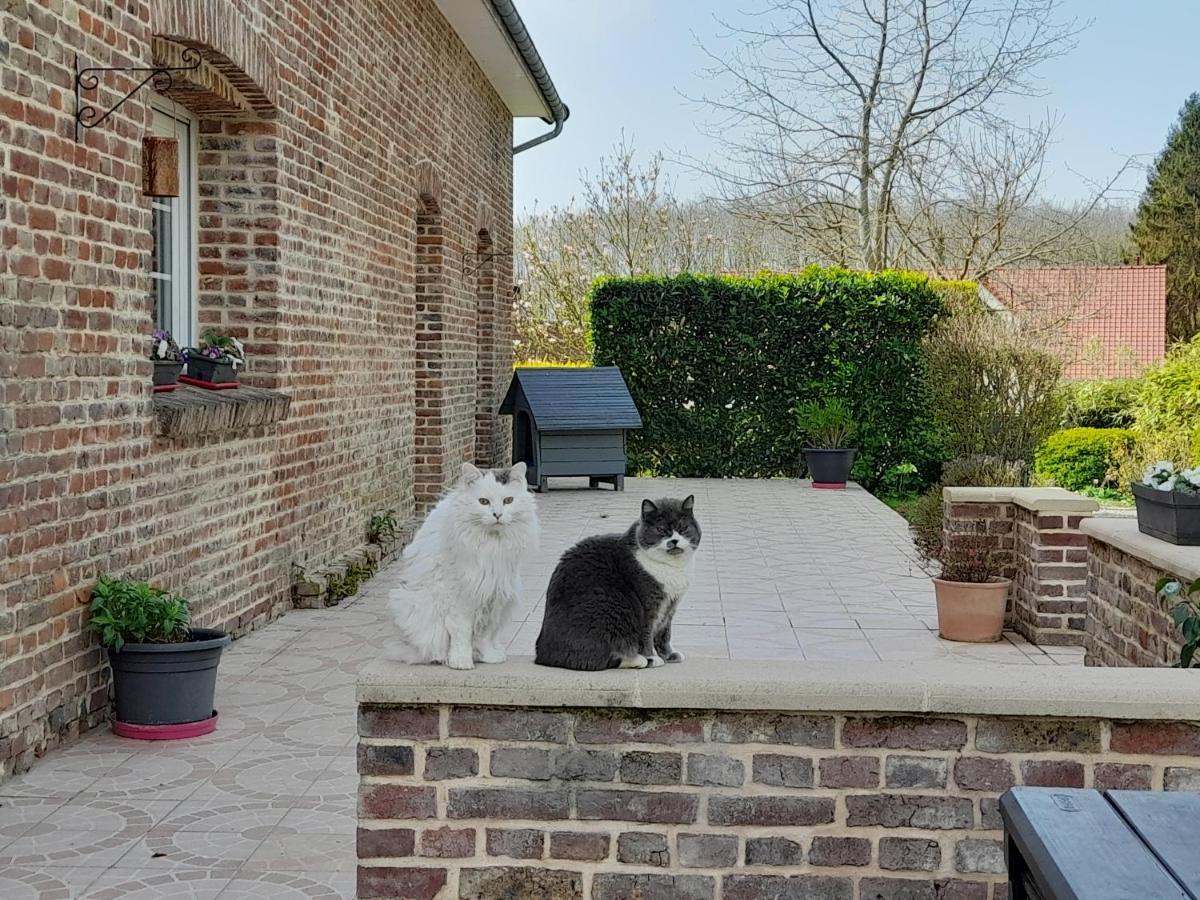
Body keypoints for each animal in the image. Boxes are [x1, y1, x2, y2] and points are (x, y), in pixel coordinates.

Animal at [386, 465, 537, 672]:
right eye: (483, 502)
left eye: (508, 501)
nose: (497, 515)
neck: (491, 545)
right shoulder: (461, 596)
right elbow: (461, 633)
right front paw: (460, 662)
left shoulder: (494, 594)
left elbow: (485, 633)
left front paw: (489, 656)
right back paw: (442, 658)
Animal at [537, 496, 700, 672]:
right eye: (661, 530)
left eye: (683, 529)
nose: (674, 540)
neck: (672, 567)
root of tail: (543, 655)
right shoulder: (649, 606)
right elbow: (647, 634)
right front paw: (652, 657)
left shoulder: (670, 606)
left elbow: (664, 634)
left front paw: (669, 655)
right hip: (610, 607)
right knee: (597, 660)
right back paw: (639, 660)